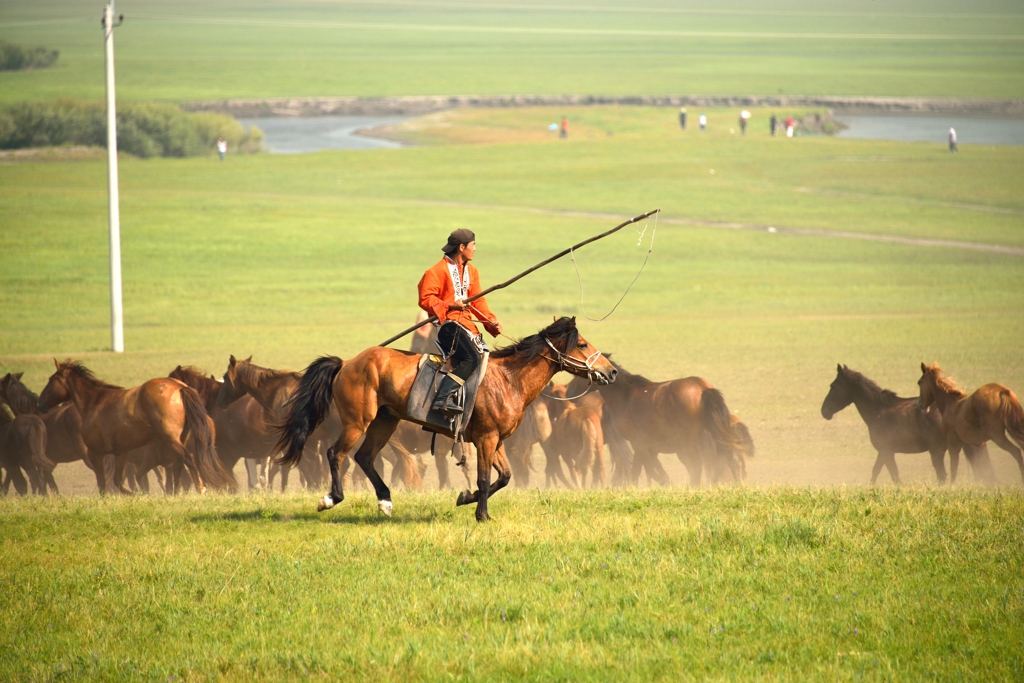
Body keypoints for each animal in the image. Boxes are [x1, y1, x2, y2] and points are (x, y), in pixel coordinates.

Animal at [37, 360, 234, 493]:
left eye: (51, 380)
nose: (40, 404)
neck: (95, 402)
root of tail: (179, 387)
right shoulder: (120, 452)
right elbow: (118, 481)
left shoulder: (95, 453)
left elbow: (103, 483)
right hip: (179, 439)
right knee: (179, 464)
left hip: (170, 439)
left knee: (188, 460)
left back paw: (199, 488)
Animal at [274, 317, 614, 520]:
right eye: (582, 344)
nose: (611, 371)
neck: (509, 379)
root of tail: (347, 363)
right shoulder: (486, 439)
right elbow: (484, 477)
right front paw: (481, 515)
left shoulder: (496, 441)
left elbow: (504, 477)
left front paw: (466, 499)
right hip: (358, 422)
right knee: (336, 453)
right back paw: (331, 499)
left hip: (385, 421)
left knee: (365, 457)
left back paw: (385, 501)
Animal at [819, 366, 954, 483]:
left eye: (833, 385)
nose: (824, 410)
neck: (878, 410)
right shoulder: (884, 452)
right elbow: (876, 471)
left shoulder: (887, 451)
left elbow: (894, 476)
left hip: (936, 451)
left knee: (942, 476)